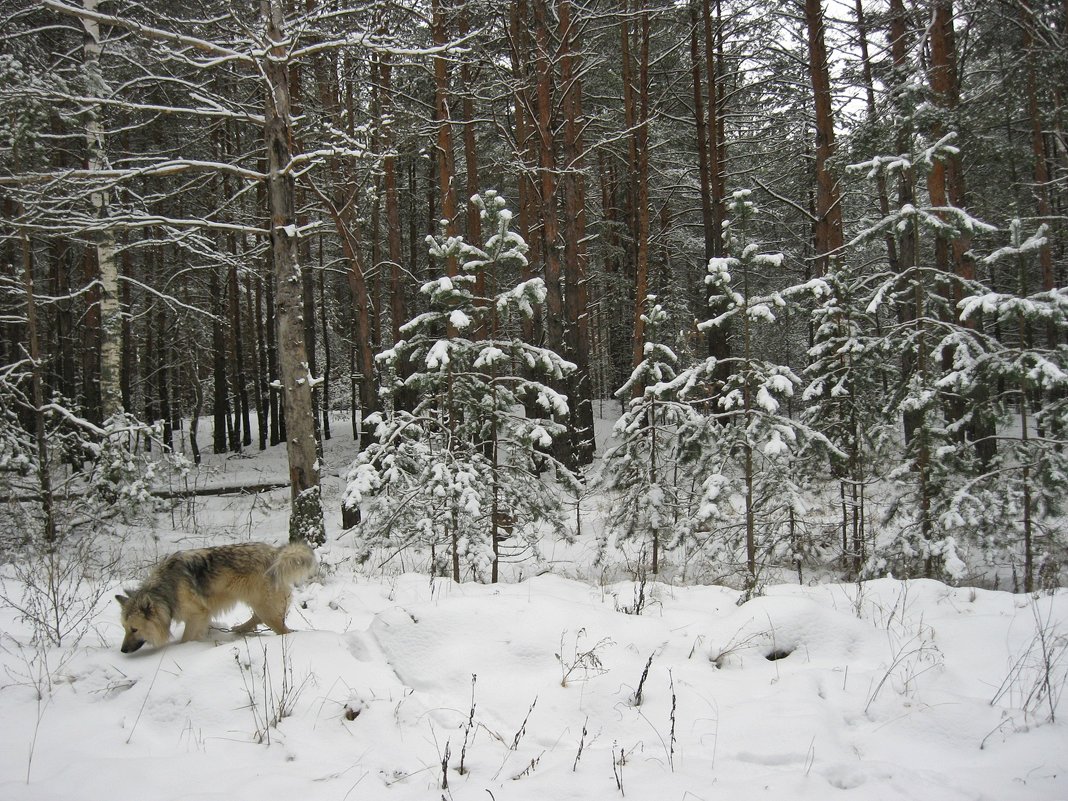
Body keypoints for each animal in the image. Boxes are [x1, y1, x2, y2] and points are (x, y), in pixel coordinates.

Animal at [118, 542, 316, 653]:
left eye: (134, 629)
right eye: (124, 628)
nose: (123, 651)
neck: (165, 591)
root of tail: (275, 552)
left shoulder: (197, 615)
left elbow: (185, 639)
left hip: (265, 607)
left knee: (282, 629)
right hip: (259, 603)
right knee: (257, 618)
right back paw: (239, 629)